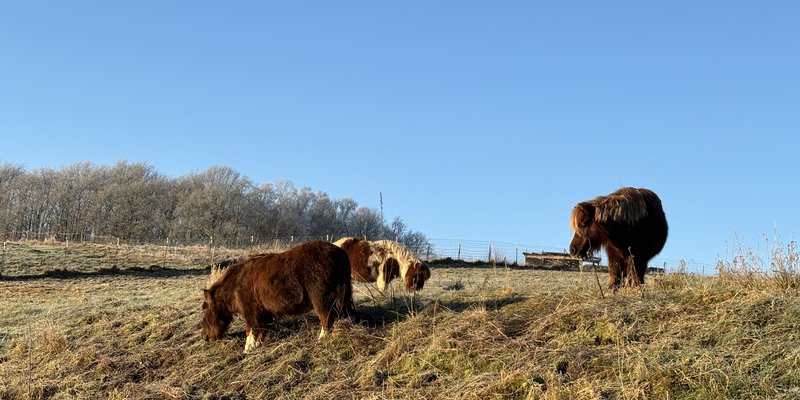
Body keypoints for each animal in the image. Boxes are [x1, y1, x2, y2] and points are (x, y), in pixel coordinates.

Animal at [200, 241, 354, 354]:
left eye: (205, 308)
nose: (204, 337)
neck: (235, 283)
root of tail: (340, 252)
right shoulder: (262, 313)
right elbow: (261, 330)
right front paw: (257, 344)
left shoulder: (251, 311)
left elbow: (251, 329)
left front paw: (248, 348)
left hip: (322, 299)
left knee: (326, 318)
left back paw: (321, 339)